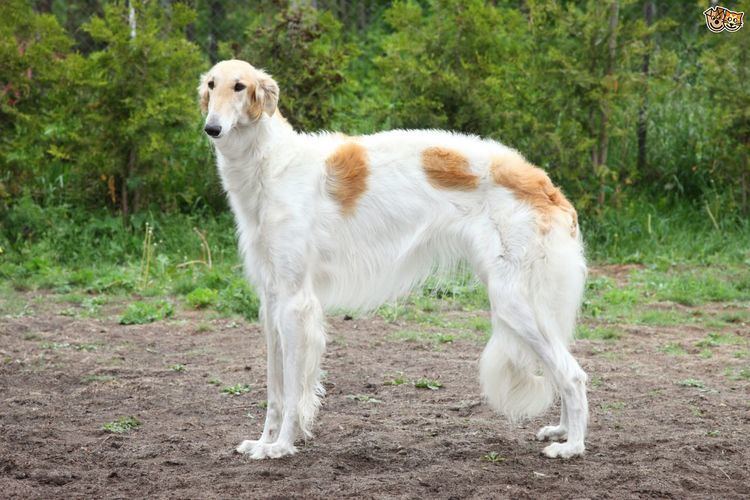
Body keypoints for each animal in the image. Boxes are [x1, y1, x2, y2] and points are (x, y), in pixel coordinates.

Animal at [203, 59, 592, 460]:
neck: (273, 166)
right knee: (564, 368)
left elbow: (294, 389)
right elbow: (275, 389)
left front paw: (281, 445)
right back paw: (562, 430)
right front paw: (263, 441)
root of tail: (547, 187)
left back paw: (572, 445)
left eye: (239, 86)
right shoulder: (271, 299)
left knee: (573, 375)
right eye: (211, 85)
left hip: (513, 301)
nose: (211, 128)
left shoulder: (296, 303)